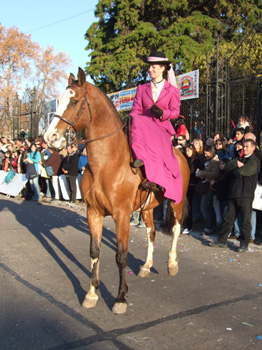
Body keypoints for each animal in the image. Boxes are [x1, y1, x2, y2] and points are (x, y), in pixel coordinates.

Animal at [44, 67, 188, 314]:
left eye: (74, 101)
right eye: (60, 100)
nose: (49, 137)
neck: (106, 162)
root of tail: (179, 152)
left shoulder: (121, 215)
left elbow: (121, 256)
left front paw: (120, 298)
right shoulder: (93, 212)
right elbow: (95, 252)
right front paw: (92, 294)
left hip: (176, 202)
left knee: (177, 229)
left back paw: (171, 263)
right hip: (147, 208)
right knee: (151, 232)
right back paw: (147, 265)